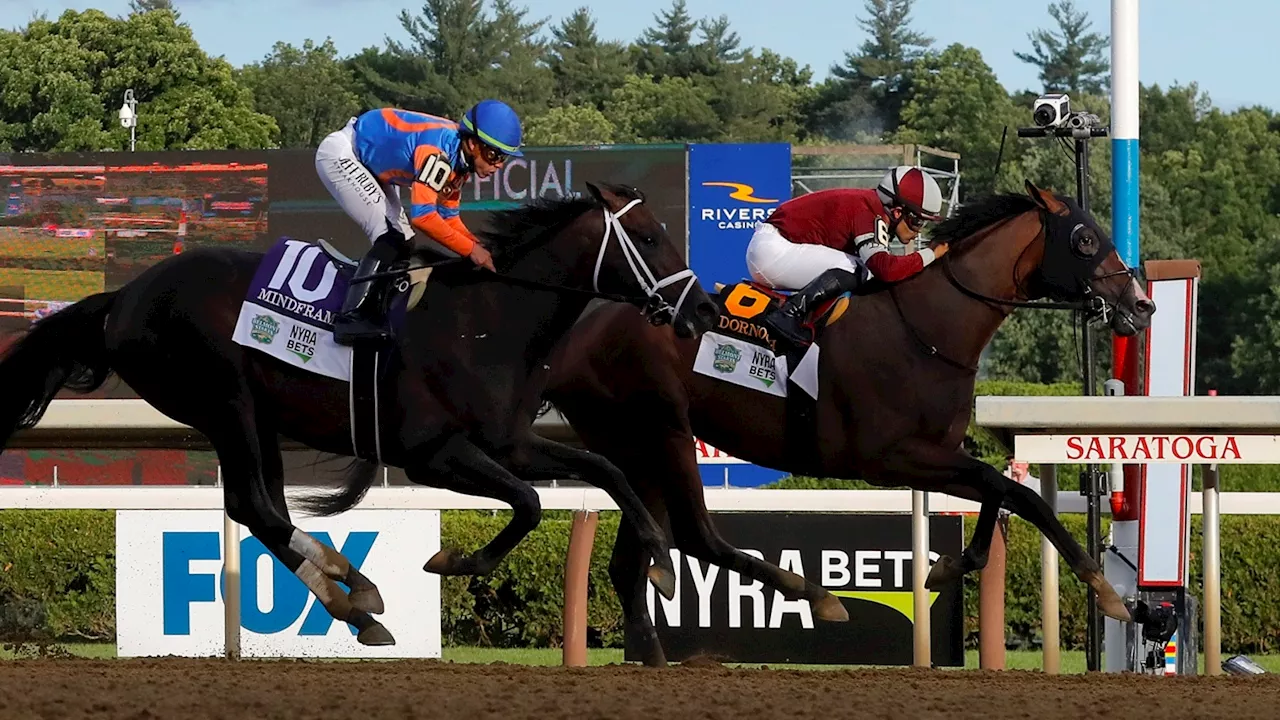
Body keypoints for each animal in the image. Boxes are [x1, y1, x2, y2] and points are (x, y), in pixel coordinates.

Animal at [0, 179, 721, 645]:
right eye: (648, 236)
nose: (706, 309)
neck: (488, 319)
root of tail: (124, 296)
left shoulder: (510, 441)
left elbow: (608, 470)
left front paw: (659, 561)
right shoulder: (433, 454)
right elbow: (530, 503)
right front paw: (453, 563)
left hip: (256, 418)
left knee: (265, 509)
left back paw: (353, 594)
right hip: (225, 402)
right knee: (255, 507)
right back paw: (355, 596)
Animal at [545, 179, 1157, 661]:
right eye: (1084, 240)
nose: (1141, 304)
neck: (926, 328)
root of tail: (571, 341)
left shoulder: (937, 453)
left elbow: (1004, 491)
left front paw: (952, 567)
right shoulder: (889, 458)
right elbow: (1009, 489)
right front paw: (1106, 592)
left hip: (637, 450)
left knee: (629, 563)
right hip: (660, 431)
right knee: (690, 535)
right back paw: (816, 597)